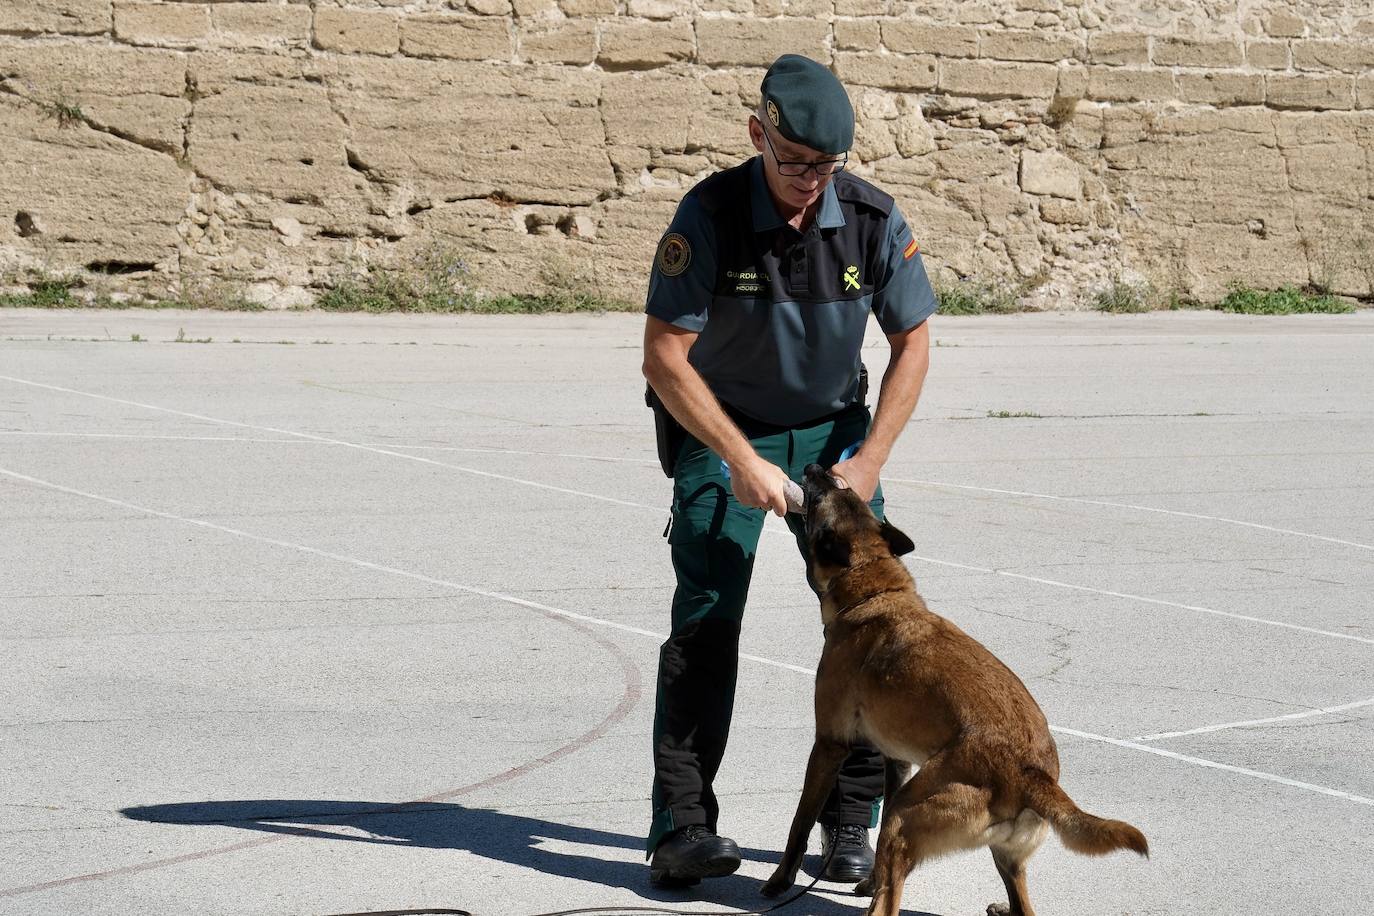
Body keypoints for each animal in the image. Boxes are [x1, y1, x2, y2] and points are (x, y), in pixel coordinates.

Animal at [763, 466, 1148, 916]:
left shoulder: (828, 744)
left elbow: (800, 821)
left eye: (822, 495)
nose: (814, 469)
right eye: (843, 489)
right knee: (1021, 907)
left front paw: (779, 882)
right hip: (998, 854)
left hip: (902, 818)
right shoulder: (896, 760)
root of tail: (1032, 774)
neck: (875, 590)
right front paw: (868, 880)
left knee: (887, 902)